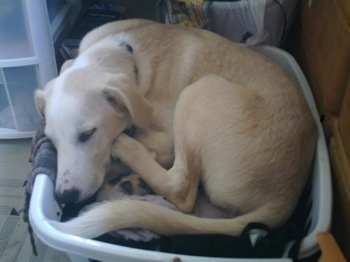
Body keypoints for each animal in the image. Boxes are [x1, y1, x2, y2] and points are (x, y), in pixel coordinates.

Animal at [34, 19, 318, 238]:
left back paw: (127, 153)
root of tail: (288, 194)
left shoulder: (167, 137)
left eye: (88, 134)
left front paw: (126, 148)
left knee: (180, 187)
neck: (124, 53)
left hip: (199, 91)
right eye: (52, 141)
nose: (65, 197)